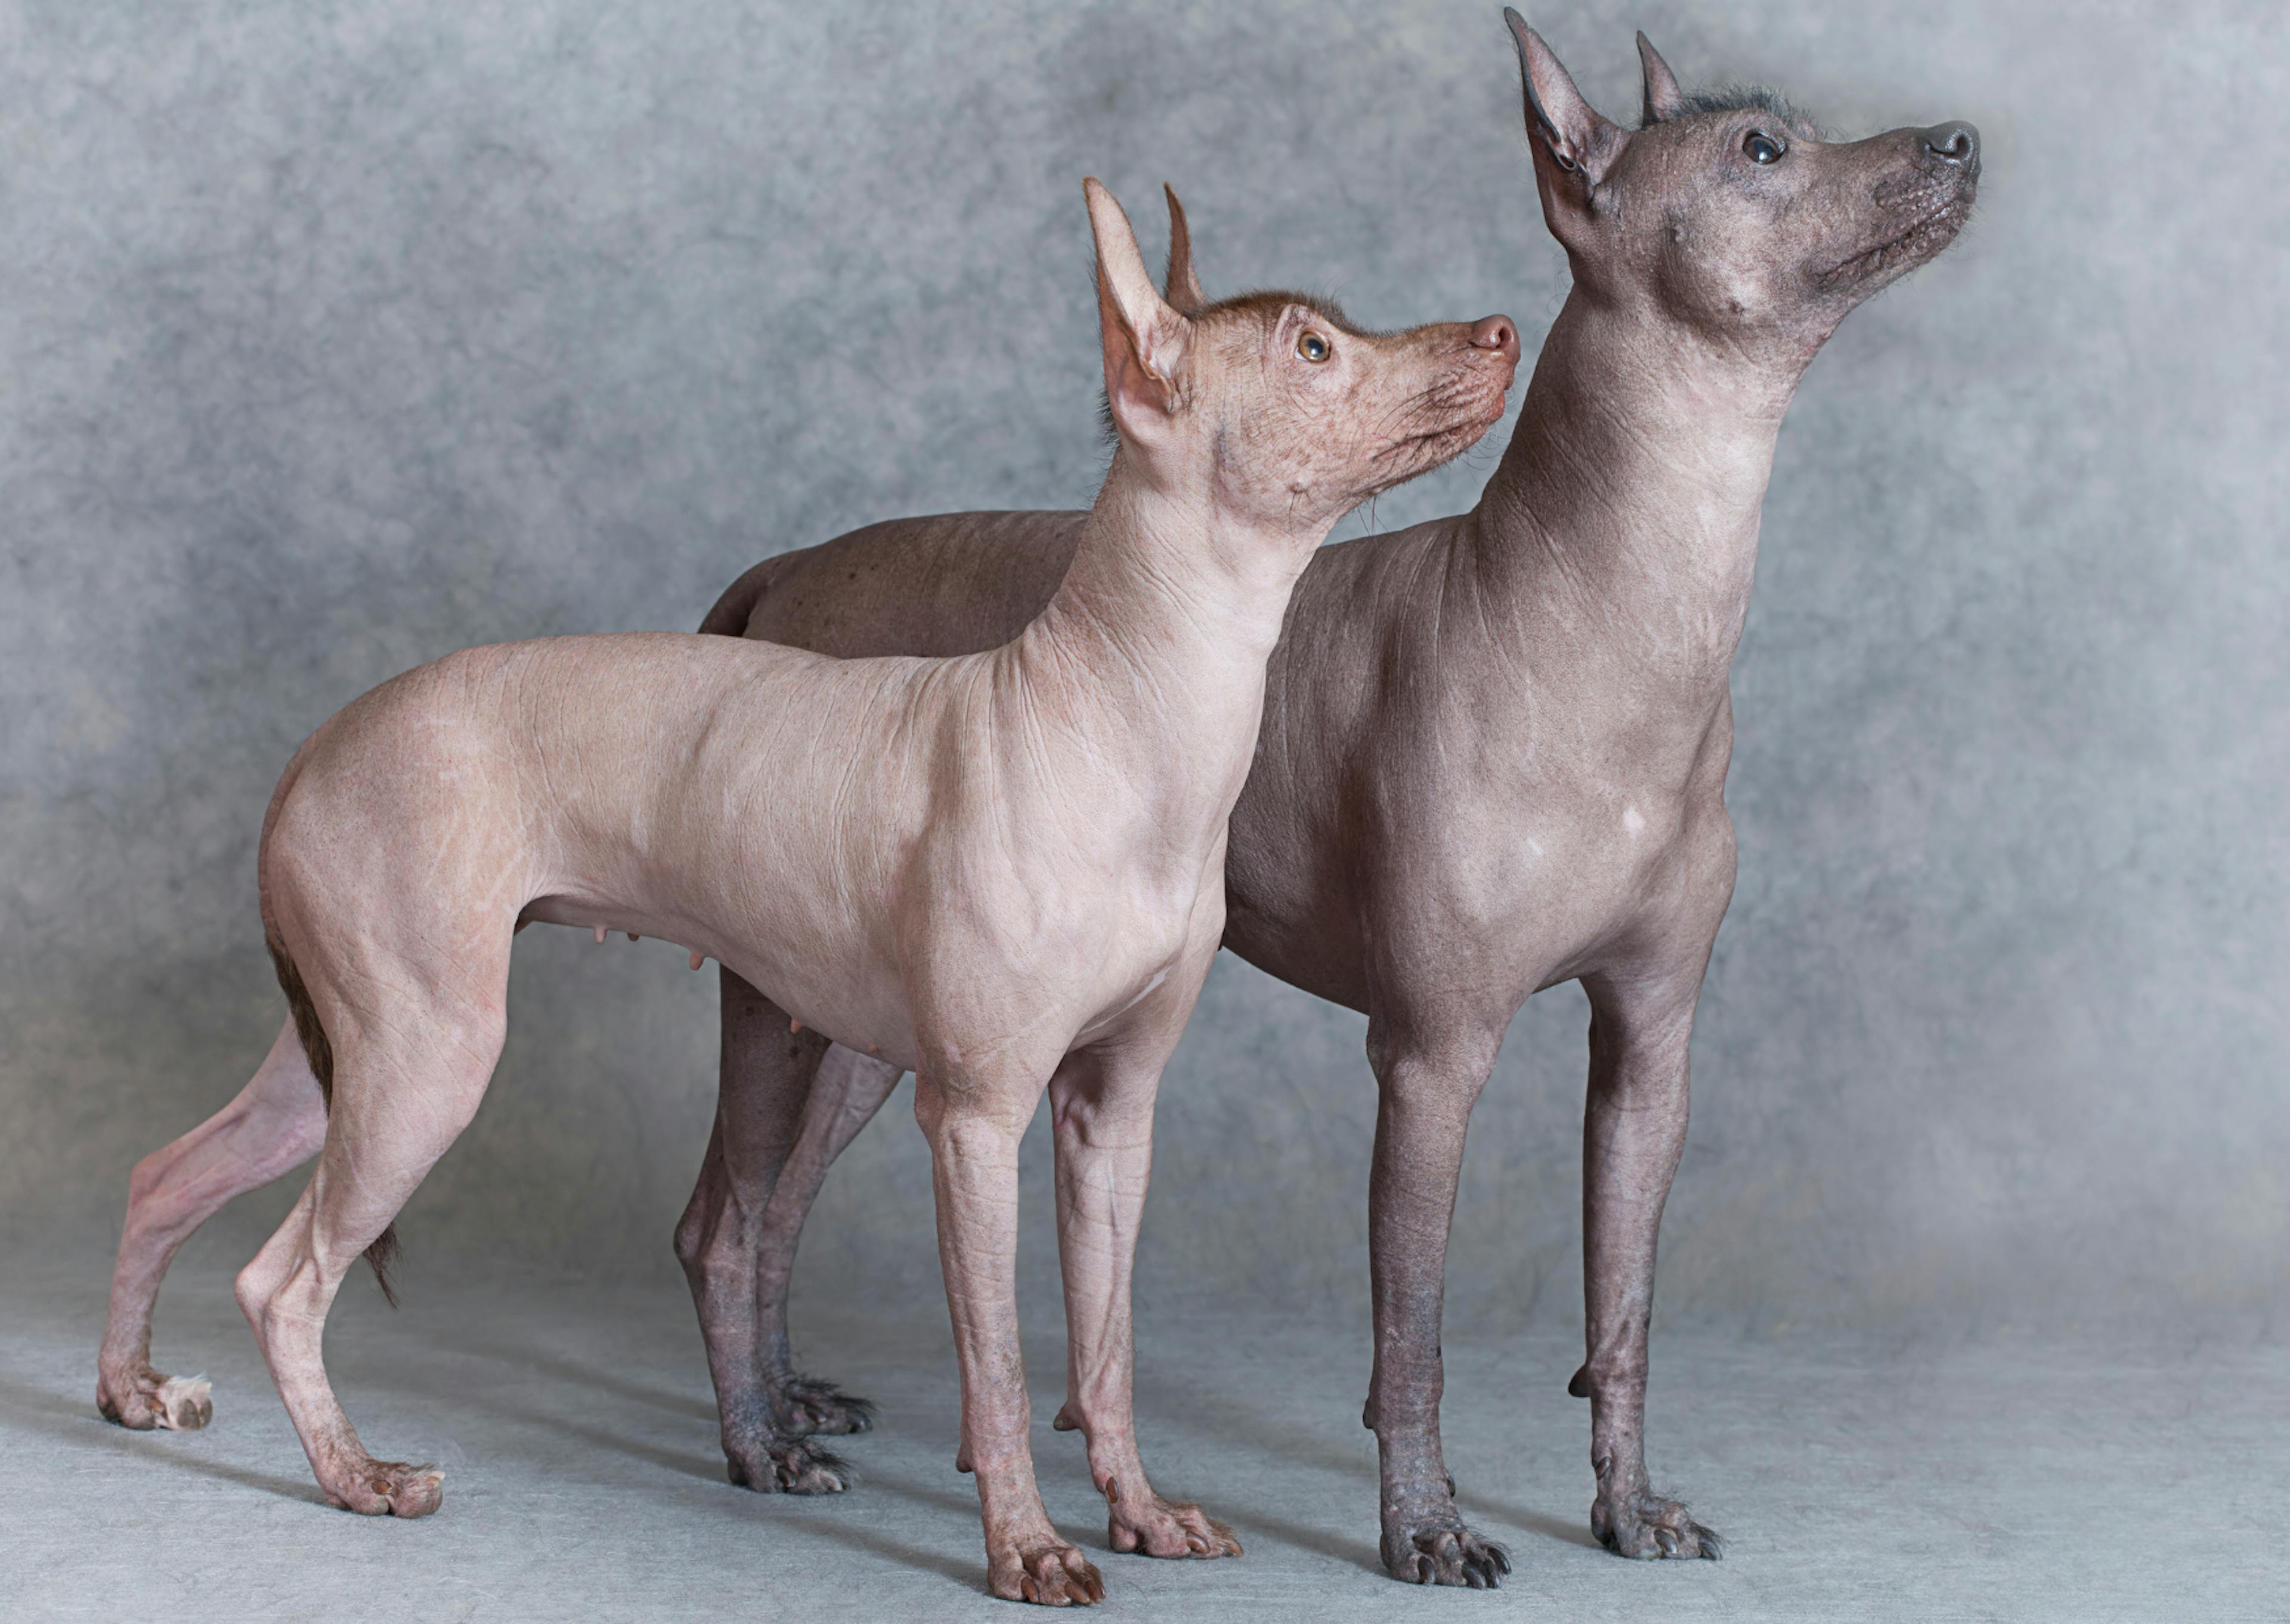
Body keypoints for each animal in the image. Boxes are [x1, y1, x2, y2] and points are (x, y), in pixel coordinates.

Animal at [98, 177, 1520, 1594]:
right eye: (1313, 350)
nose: (1503, 329)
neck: (1114, 709)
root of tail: (313, 750)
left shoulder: (1113, 1117)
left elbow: (1105, 1349)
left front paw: (1142, 1508)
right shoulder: (974, 1121)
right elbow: (1002, 1365)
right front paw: (1026, 1545)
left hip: (355, 1048)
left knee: (168, 1171)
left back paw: (133, 1388)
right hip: (431, 1062)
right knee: (283, 1282)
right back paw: (355, 1473)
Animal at [669, 16, 1978, 1585]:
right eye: (1761, 152)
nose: (1959, 139)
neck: (1608, 610)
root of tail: (786, 570)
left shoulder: (1651, 1054)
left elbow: (1626, 1312)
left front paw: (1629, 1505)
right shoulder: (1429, 1058)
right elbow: (1411, 1329)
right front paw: (1424, 1526)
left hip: (869, 1022)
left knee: (768, 1206)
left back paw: (788, 1402)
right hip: (797, 1006)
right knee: (729, 1219)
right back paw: (759, 1441)